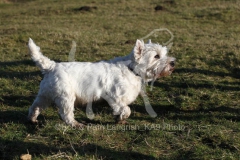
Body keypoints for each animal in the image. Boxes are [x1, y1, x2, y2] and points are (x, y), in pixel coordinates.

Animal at [27, 38, 175, 127]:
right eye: (156, 56)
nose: (173, 63)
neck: (132, 69)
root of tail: (51, 66)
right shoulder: (115, 97)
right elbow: (126, 109)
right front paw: (121, 118)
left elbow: (121, 110)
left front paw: (118, 118)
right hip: (66, 97)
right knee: (65, 114)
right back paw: (76, 124)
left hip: (45, 95)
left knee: (35, 106)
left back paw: (32, 119)